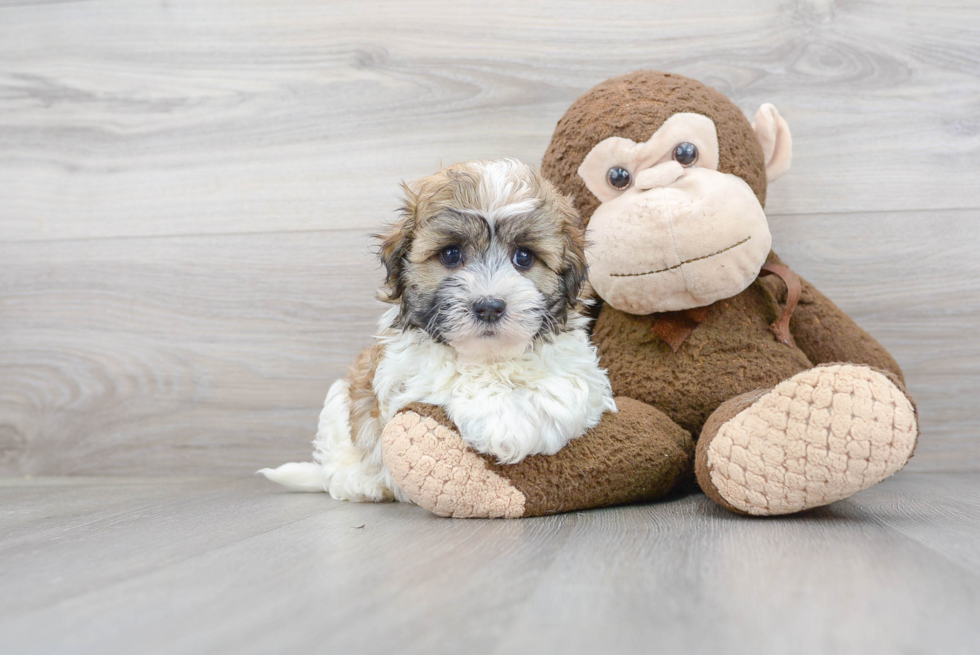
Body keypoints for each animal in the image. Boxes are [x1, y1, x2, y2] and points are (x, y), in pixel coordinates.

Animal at [258, 159, 612, 502]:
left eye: (523, 256)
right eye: (451, 254)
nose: (489, 306)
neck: (491, 357)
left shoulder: (579, 367)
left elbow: (565, 388)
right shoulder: (403, 374)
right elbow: (450, 375)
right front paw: (502, 421)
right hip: (338, 407)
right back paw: (362, 483)